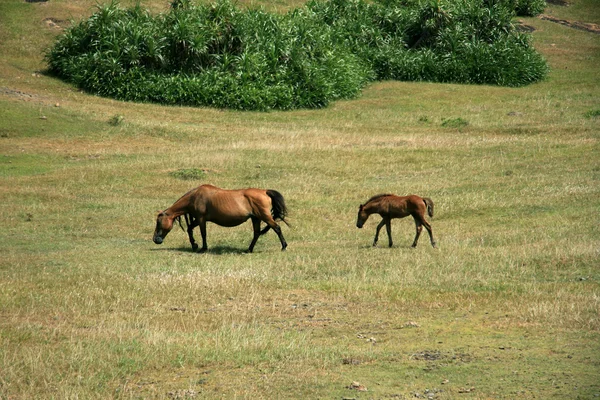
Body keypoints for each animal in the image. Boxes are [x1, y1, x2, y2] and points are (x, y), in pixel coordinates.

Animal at [152, 185, 288, 253]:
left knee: (277, 228)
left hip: (264, 217)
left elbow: (203, 233)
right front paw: (194, 245)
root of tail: (265, 191)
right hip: (256, 218)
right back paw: (249, 249)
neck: (194, 196)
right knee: (256, 233)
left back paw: (284, 247)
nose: (155, 239)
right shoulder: (198, 219)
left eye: (158, 222)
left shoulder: (201, 219)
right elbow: (190, 229)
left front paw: (203, 248)